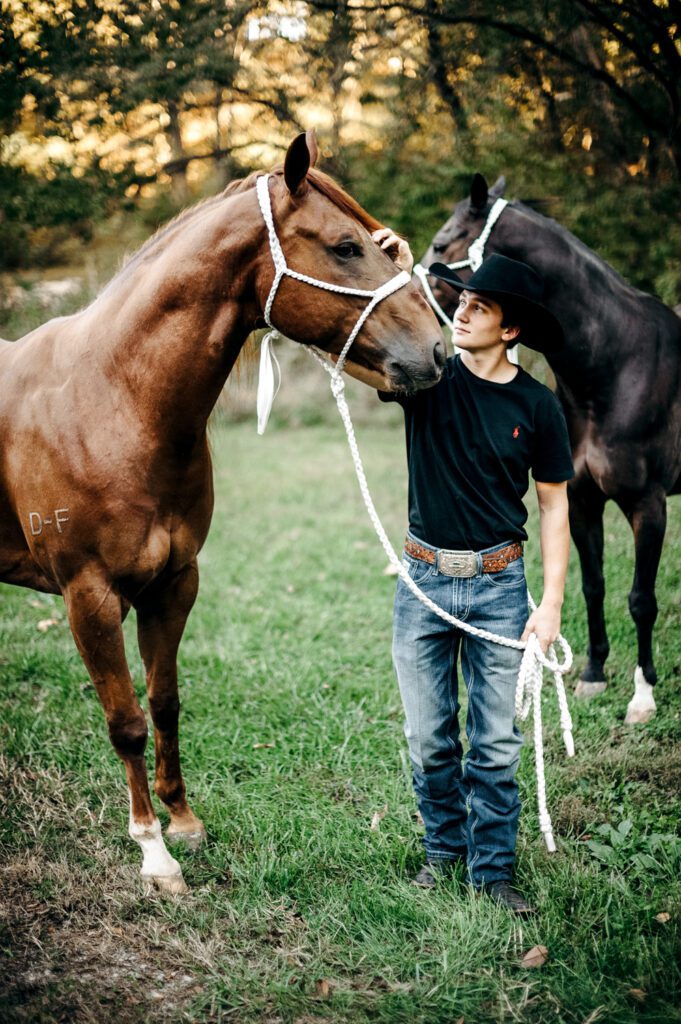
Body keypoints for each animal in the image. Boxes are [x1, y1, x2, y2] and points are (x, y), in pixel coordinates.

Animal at [0, 131, 445, 894]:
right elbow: (125, 721)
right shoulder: (89, 598)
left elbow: (164, 702)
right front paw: (153, 852)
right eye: (345, 247)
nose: (438, 351)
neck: (111, 399)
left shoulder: (175, 583)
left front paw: (183, 821)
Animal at [418, 173, 681, 726]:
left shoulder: (648, 503)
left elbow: (641, 598)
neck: (616, 367)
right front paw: (594, 675)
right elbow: (592, 585)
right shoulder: (579, 500)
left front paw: (642, 693)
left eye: (442, 243)